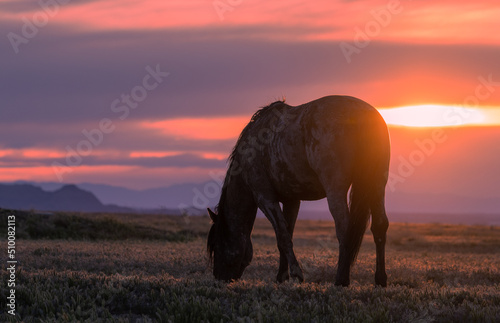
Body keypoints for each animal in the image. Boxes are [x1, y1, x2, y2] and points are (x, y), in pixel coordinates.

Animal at [207, 95, 390, 288]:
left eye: (217, 244)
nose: (219, 277)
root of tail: (362, 115)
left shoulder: (265, 199)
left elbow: (282, 235)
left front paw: (296, 274)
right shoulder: (292, 200)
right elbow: (287, 235)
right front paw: (282, 276)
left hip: (336, 190)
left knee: (345, 227)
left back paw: (341, 279)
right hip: (377, 184)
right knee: (379, 225)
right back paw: (380, 279)